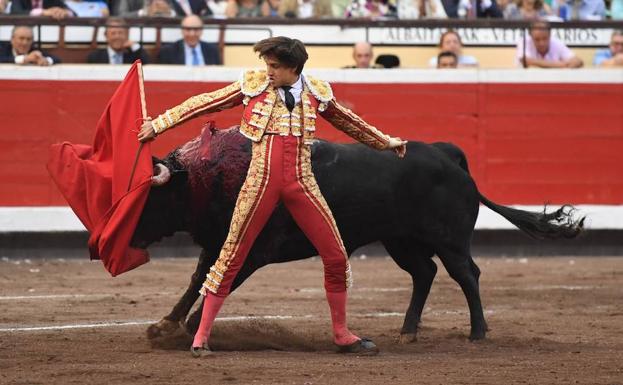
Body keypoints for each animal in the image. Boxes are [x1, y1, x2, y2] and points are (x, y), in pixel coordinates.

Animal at [132, 127, 584, 340]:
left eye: (152, 198)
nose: (128, 237)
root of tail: (446, 154)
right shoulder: (217, 244)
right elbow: (198, 281)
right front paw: (165, 325)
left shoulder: (255, 249)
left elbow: (219, 282)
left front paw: (189, 328)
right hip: (401, 240)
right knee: (425, 273)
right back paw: (407, 331)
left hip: (449, 239)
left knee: (466, 274)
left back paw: (477, 332)